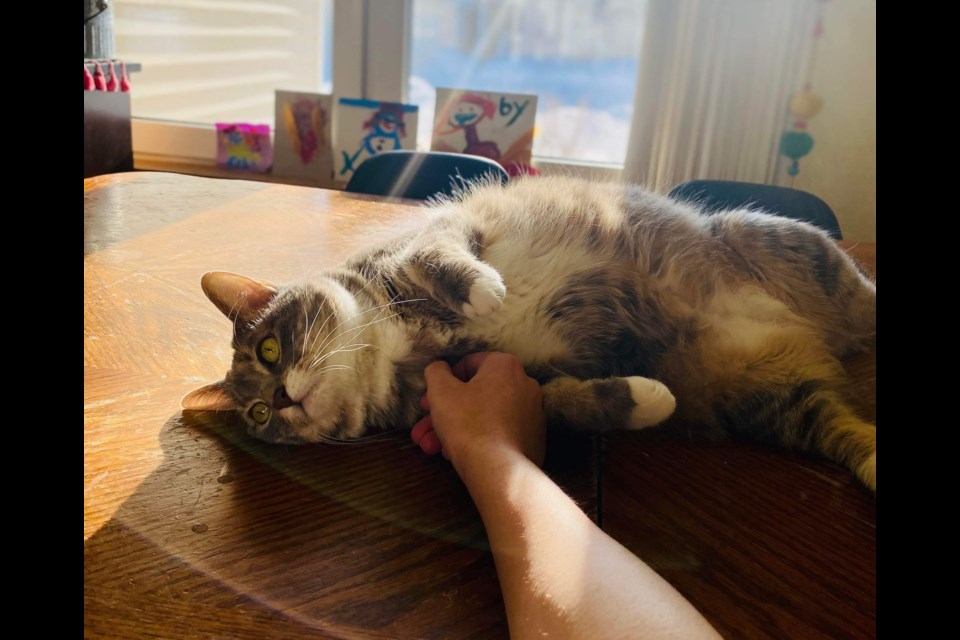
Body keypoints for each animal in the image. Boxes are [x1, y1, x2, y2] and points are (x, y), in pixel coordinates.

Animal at [182, 175, 876, 490]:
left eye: (270, 348)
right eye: (256, 413)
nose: (281, 400)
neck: (394, 349)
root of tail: (829, 343)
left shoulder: (438, 233)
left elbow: (439, 255)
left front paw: (484, 291)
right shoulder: (518, 376)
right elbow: (564, 402)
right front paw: (650, 400)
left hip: (778, 241)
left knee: (861, 301)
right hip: (772, 399)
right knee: (840, 425)